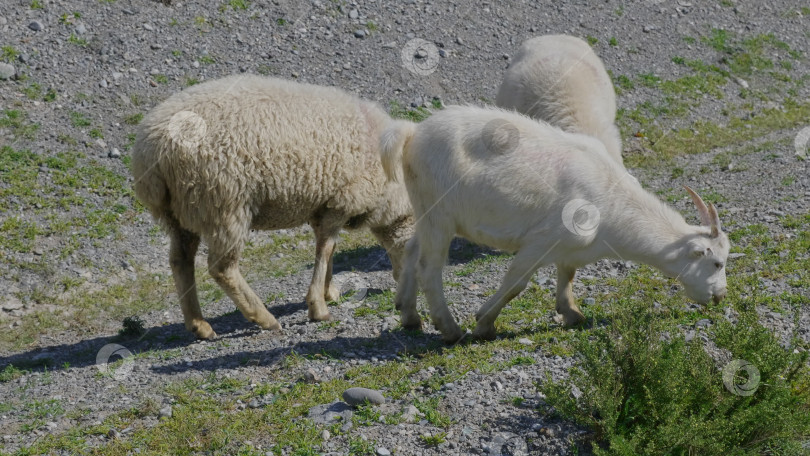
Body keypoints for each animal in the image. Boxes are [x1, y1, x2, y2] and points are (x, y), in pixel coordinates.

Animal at [132, 75, 414, 338]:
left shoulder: (323, 206)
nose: (400, 285)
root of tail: (153, 149)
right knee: (221, 268)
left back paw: (199, 325)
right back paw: (263, 317)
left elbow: (329, 249)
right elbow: (325, 249)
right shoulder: (342, 200)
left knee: (181, 261)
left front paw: (328, 291)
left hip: (180, 212)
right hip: (224, 203)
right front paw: (318, 306)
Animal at [382, 106, 728, 342]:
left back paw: (409, 314)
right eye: (717, 263)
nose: (720, 297)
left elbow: (568, 273)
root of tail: (412, 133)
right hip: (439, 214)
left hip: (426, 211)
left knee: (411, 250)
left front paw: (571, 312)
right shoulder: (540, 241)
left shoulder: (570, 246)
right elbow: (516, 284)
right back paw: (450, 329)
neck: (612, 204)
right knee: (429, 268)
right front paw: (484, 323)